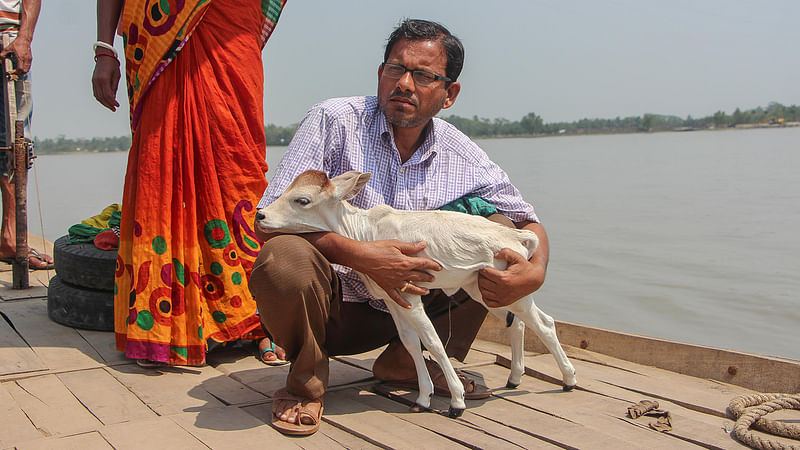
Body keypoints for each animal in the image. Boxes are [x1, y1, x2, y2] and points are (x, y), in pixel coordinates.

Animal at [256, 171, 576, 416]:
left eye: (302, 200)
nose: (261, 215)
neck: (365, 231)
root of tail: (518, 235)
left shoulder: (411, 293)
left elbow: (433, 341)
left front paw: (456, 402)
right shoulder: (392, 297)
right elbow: (411, 342)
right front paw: (423, 398)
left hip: (512, 288)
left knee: (544, 323)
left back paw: (568, 380)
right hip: (484, 289)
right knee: (517, 323)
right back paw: (514, 378)